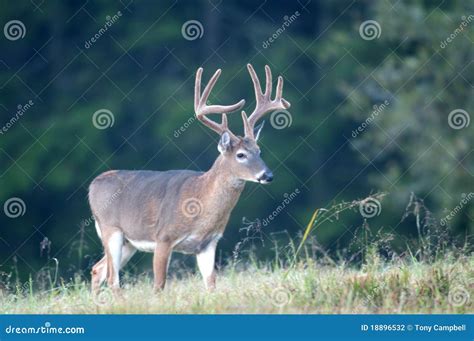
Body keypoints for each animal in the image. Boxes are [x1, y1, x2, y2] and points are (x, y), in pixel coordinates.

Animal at [88, 63, 288, 292]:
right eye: (240, 155)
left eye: (259, 151)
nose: (268, 175)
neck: (201, 202)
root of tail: (93, 184)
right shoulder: (163, 237)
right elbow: (159, 286)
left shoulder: (208, 244)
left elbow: (211, 285)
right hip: (111, 229)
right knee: (113, 279)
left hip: (128, 242)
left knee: (98, 269)